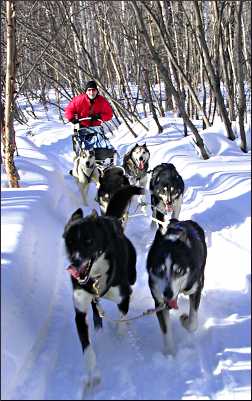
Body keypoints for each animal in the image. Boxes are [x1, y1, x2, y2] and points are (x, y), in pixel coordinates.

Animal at [63, 185, 144, 388]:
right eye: (70, 242)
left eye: (89, 241)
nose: (75, 263)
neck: (96, 277)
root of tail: (111, 219)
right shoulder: (80, 310)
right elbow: (87, 348)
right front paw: (93, 374)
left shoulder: (124, 295)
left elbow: (122, 320)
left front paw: (120, 338)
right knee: (95, 307)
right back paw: (98, 325)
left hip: (131, 276)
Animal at [146, 219, 207, 354]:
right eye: (160, 270)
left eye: (178, 270)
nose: (167, 294)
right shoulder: (159, 302)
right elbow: (166, 331)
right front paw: (170, 354)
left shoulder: (195, 289)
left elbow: (193, 324)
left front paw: (184, 319)